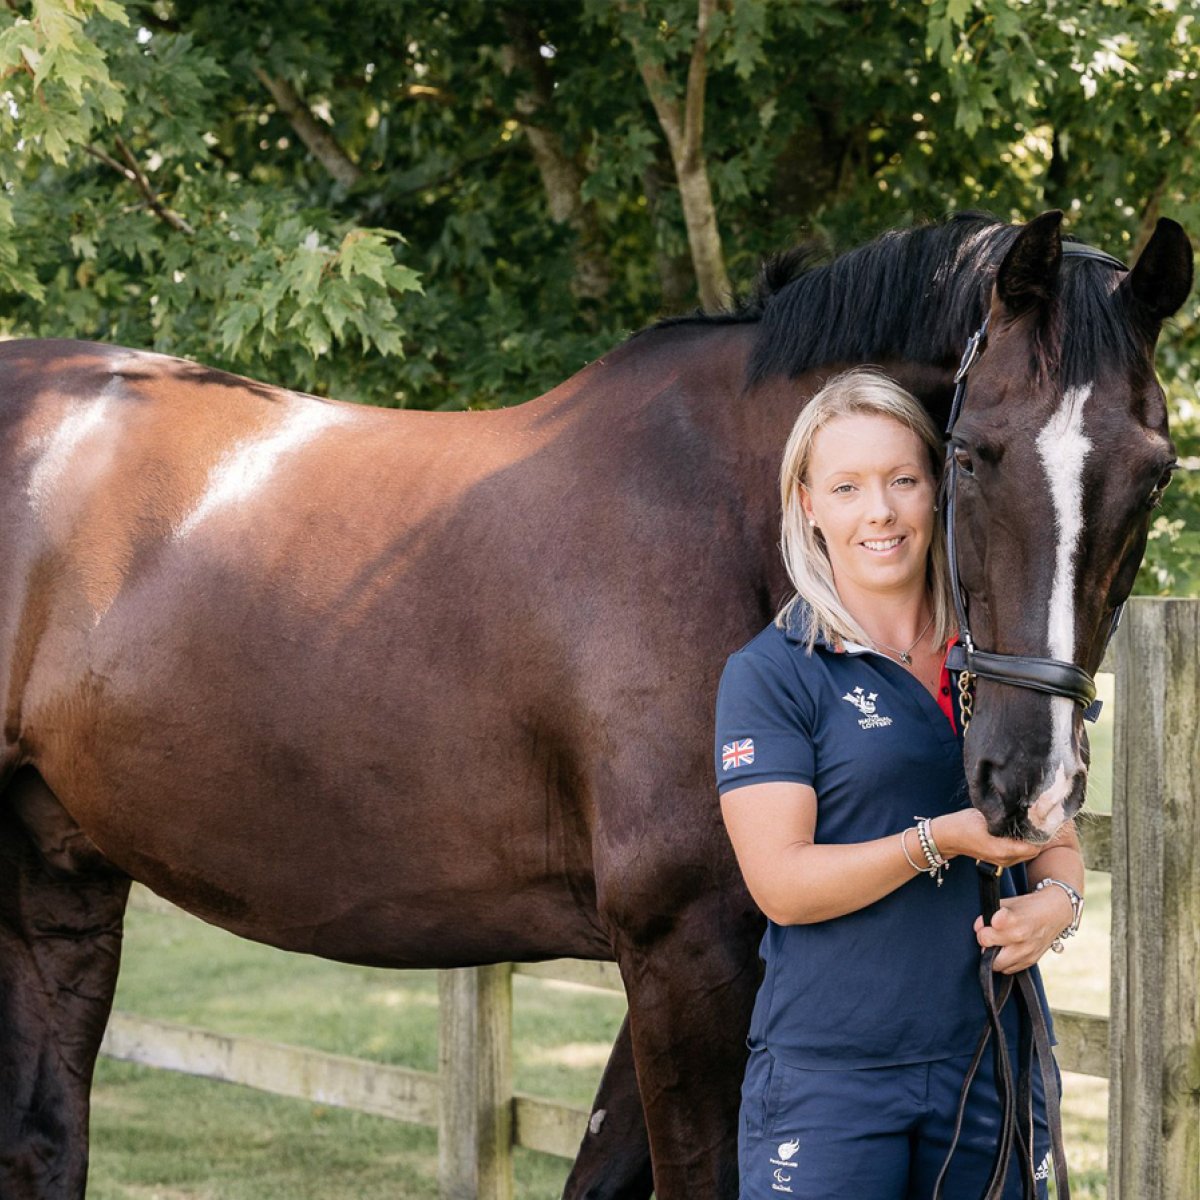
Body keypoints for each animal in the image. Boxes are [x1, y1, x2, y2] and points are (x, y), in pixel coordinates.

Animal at [0, 211, 1190, 1195]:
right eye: (970, 454)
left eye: (1156, 475)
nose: (1028, 782)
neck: (726, 524)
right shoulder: (683, 945)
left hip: (58, 880)